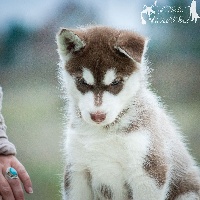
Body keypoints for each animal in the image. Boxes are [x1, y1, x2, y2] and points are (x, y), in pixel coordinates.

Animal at [55, 26, 200, 200]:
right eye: (82, 82)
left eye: (116, 82)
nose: (97, 116)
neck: (103, 133)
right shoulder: (77, 170)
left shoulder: (148, 171)